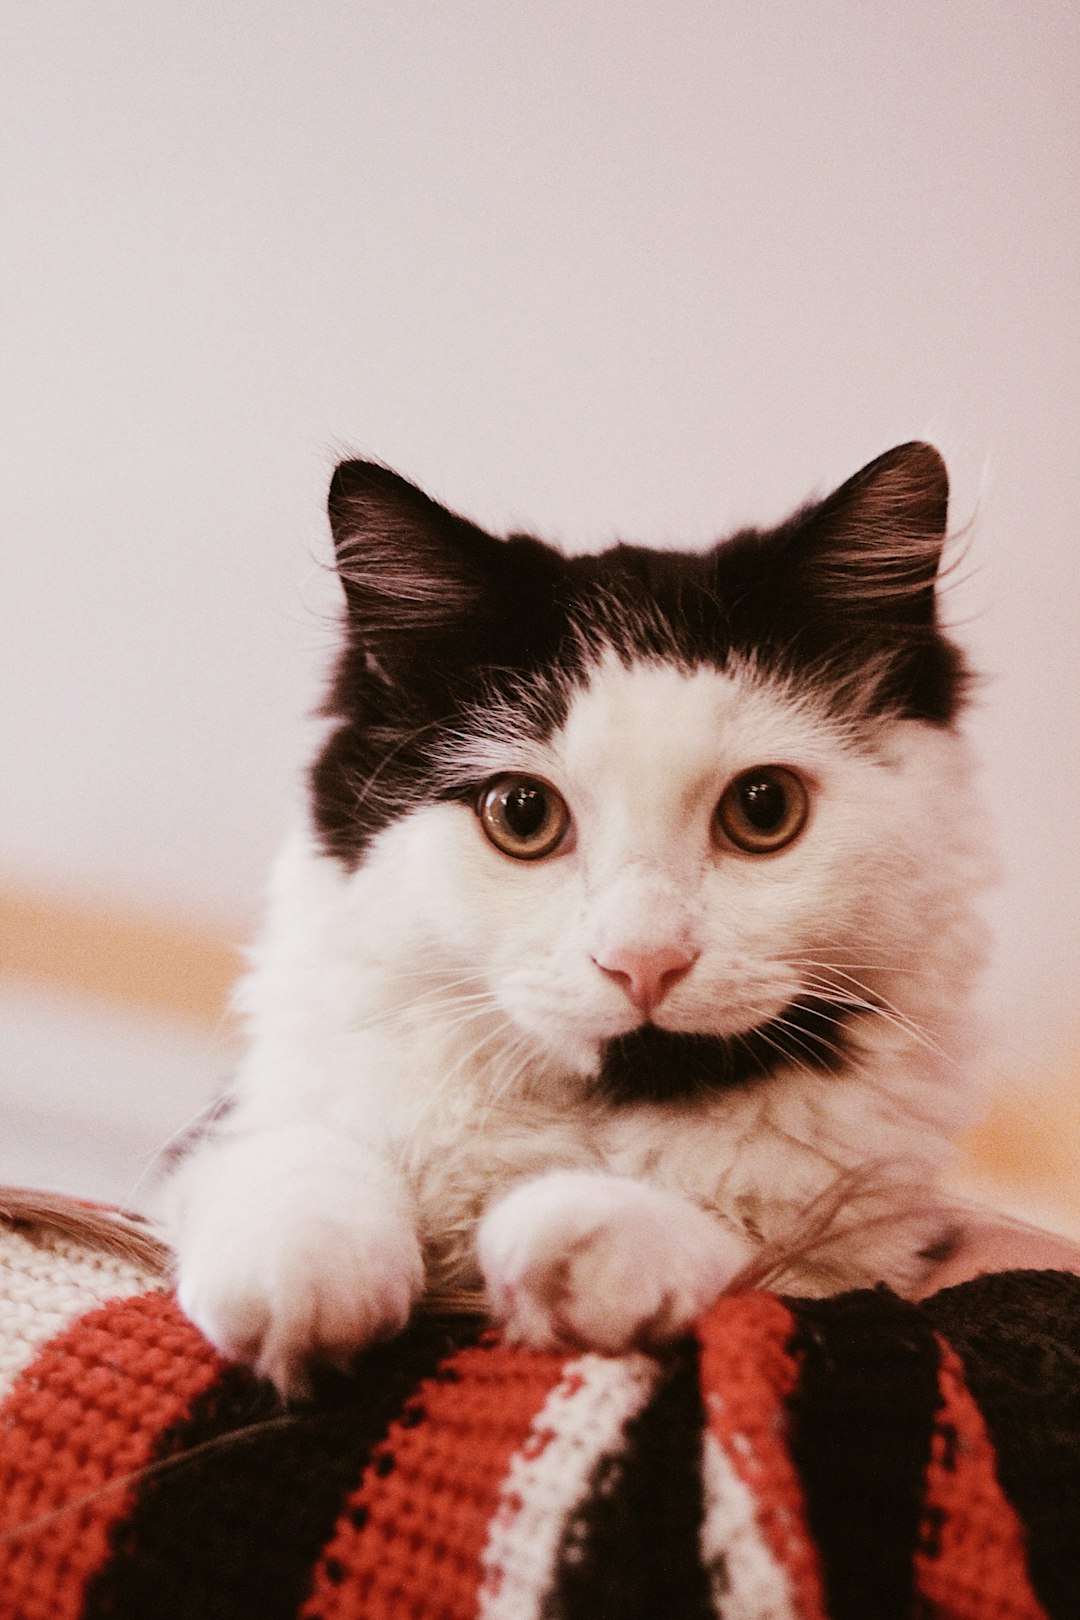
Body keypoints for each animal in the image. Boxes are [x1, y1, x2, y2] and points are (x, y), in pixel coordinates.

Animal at [160, 443, 990, 1393]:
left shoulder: (881, 1255)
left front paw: (590, 1236)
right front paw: (306, 1267)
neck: (603, 1105)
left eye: (764, 808)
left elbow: (756, 1256)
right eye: (521, 814)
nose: (644, 961)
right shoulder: (246, 1119)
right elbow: (293, 1155)